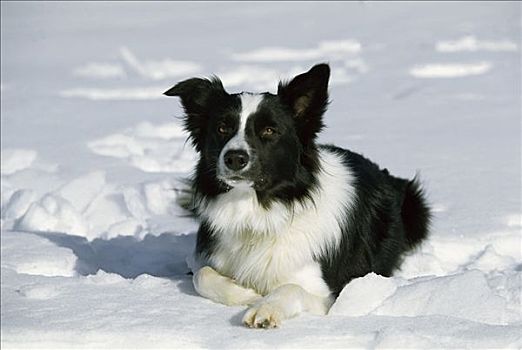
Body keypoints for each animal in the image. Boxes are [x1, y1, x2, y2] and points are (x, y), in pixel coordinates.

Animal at [165, 63, 428, 328]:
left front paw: (264, 308)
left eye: (269, 130)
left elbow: (291, 288)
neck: (258, 213)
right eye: (222, 128)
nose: (235, 158)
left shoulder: (328, 295)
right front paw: (245, 294)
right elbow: (202, 274)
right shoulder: (205, 259)